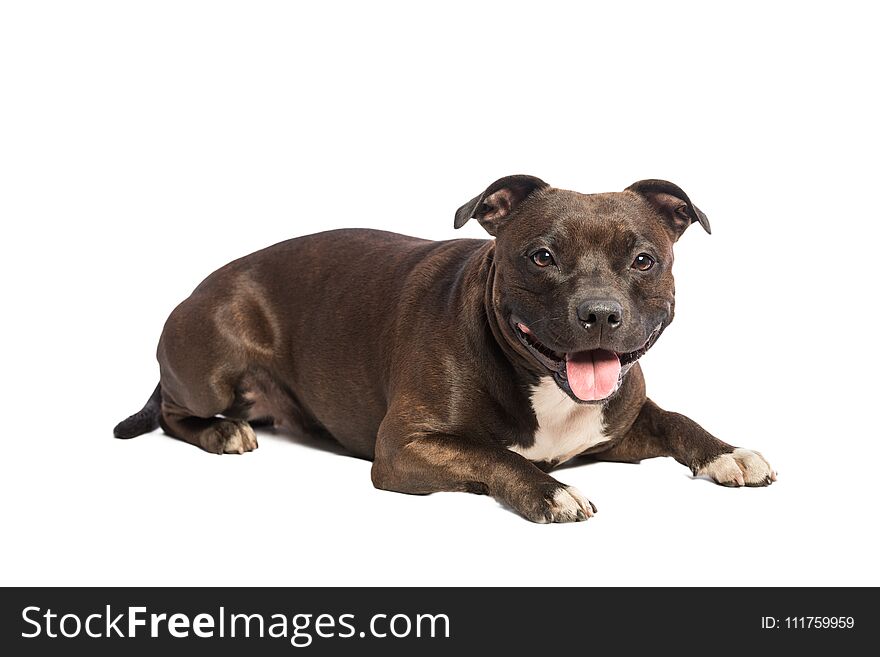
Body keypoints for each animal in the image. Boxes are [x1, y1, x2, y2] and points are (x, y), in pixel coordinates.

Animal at [115, 176, 776, 524]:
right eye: (541, 255)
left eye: (643, 259)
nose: (599, 313)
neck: (546, 385)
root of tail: (202, 284)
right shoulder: (405, 446)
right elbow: (492, 454)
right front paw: (551, 492)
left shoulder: (620, 424)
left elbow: (678, 420)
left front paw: (728, 453)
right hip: (212, 360)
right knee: (173, 409)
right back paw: (222, 430)